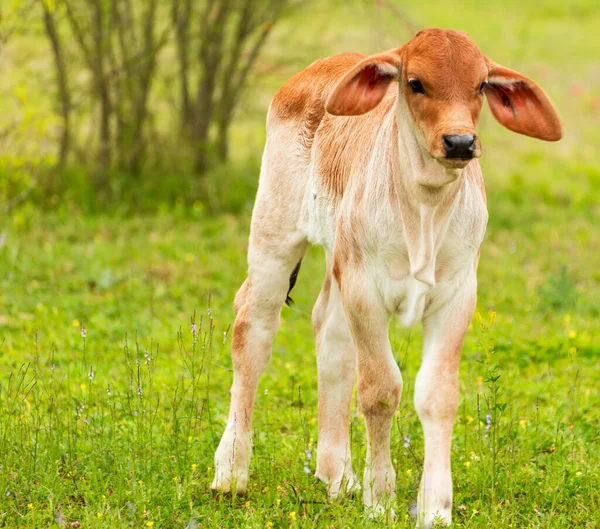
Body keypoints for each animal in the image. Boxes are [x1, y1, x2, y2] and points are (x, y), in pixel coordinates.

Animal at [210, 29, 556, 528]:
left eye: (480, 86)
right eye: (415, 83)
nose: (460, 142)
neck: (425, 209)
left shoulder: (456, 297)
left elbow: (437, 394)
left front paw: (435, 507)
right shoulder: (364, 290)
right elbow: (379, 390)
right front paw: (380, 498)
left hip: (338, 260)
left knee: (330, 335)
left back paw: (336, 474)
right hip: (274, 235)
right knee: (252, 331)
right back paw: (232, 470)